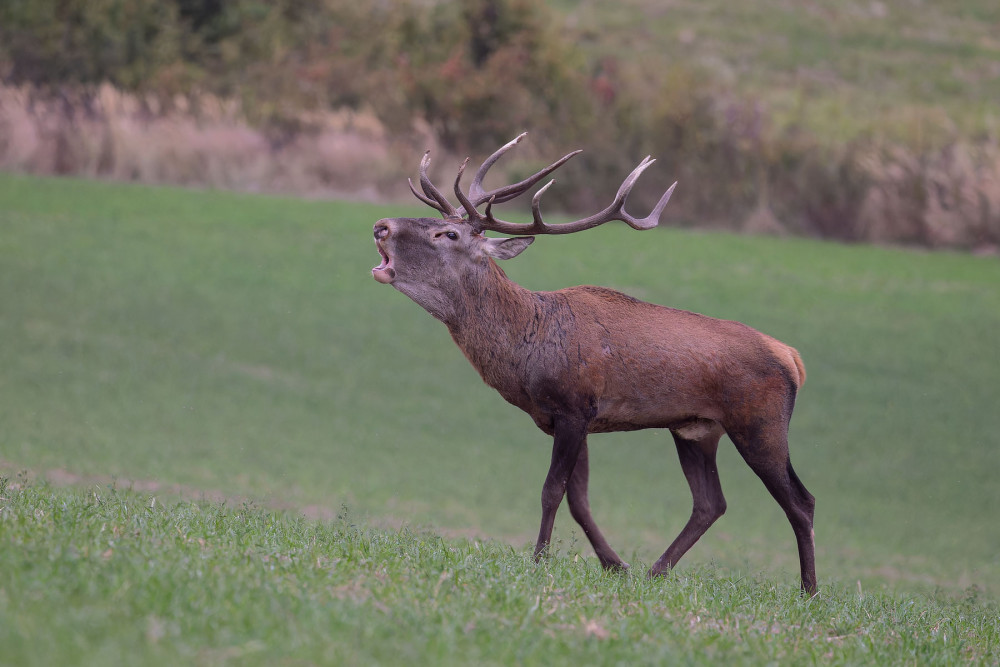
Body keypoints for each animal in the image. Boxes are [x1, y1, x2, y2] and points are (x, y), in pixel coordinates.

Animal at [372, 133, 816, 592]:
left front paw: (539, 561)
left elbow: (552, 490)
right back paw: (656, 571)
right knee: (711, 503)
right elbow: (579, 500)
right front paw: (614, 565)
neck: (526, 352)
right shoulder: (570, 418)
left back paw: (808, 591)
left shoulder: (574, 406)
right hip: (696, 429)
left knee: (801, 501)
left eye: (448, 233)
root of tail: (792, 357)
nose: (380, 226)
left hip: (760, 421)